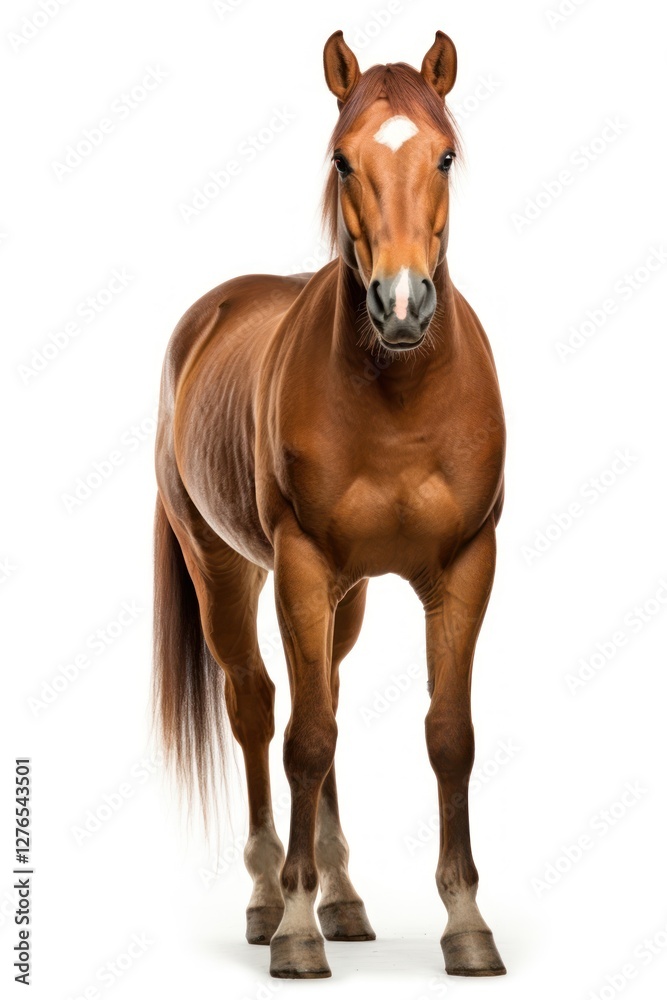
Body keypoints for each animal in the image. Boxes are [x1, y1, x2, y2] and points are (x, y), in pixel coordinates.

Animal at [153, 29, 507, 980]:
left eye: (445, 155)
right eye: (343, 159)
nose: (401, 304)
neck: (397, 395)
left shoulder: (465, 566)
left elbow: (447, 734)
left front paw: (466, 924)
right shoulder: (302, 566)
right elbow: (302, 739)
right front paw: (295, 931)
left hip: (341, 599)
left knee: (329, 701)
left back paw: (343, 896)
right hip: (227, 570)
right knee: (257, 708)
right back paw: (269, 895)